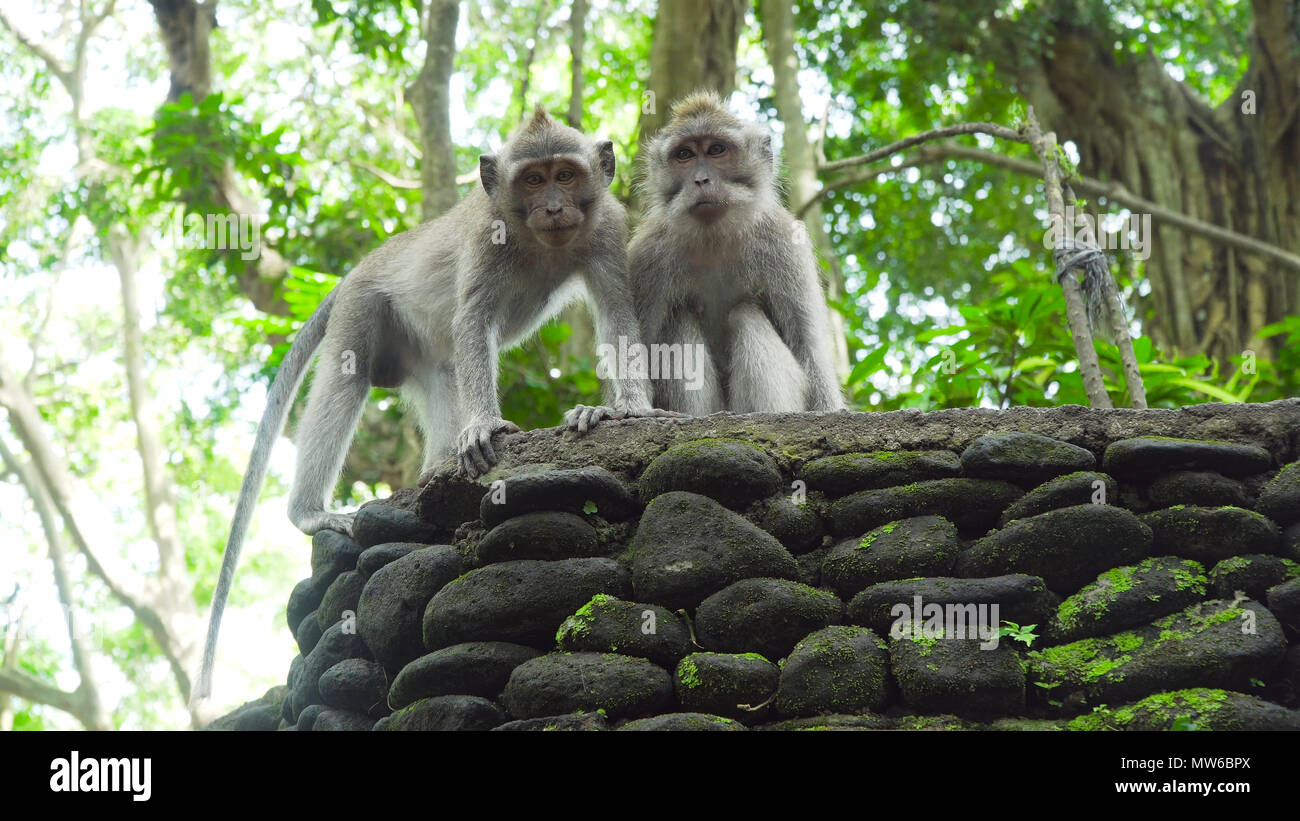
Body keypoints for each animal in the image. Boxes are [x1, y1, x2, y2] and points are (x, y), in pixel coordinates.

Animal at [195, 108, 673, 702]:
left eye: (565, 175)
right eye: (532, 181)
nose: (553, 207)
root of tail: (363, 265)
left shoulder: (606, 226)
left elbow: (615, 313)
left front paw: (620, 410)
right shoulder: (486, 238)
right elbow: (474, 320)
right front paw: (486, 427)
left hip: (418, 353)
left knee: (443, 374)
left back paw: (434, 469)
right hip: (364, 305)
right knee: (346, 377)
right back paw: (310, 512)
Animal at [627, 90, 845, 416]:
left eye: (716, 149)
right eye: (684, 155)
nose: (700, 180)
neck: (714, 236)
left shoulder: (783, 243)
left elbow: (807, 347)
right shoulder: (647, 257)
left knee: (746, 313)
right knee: (680, 318)